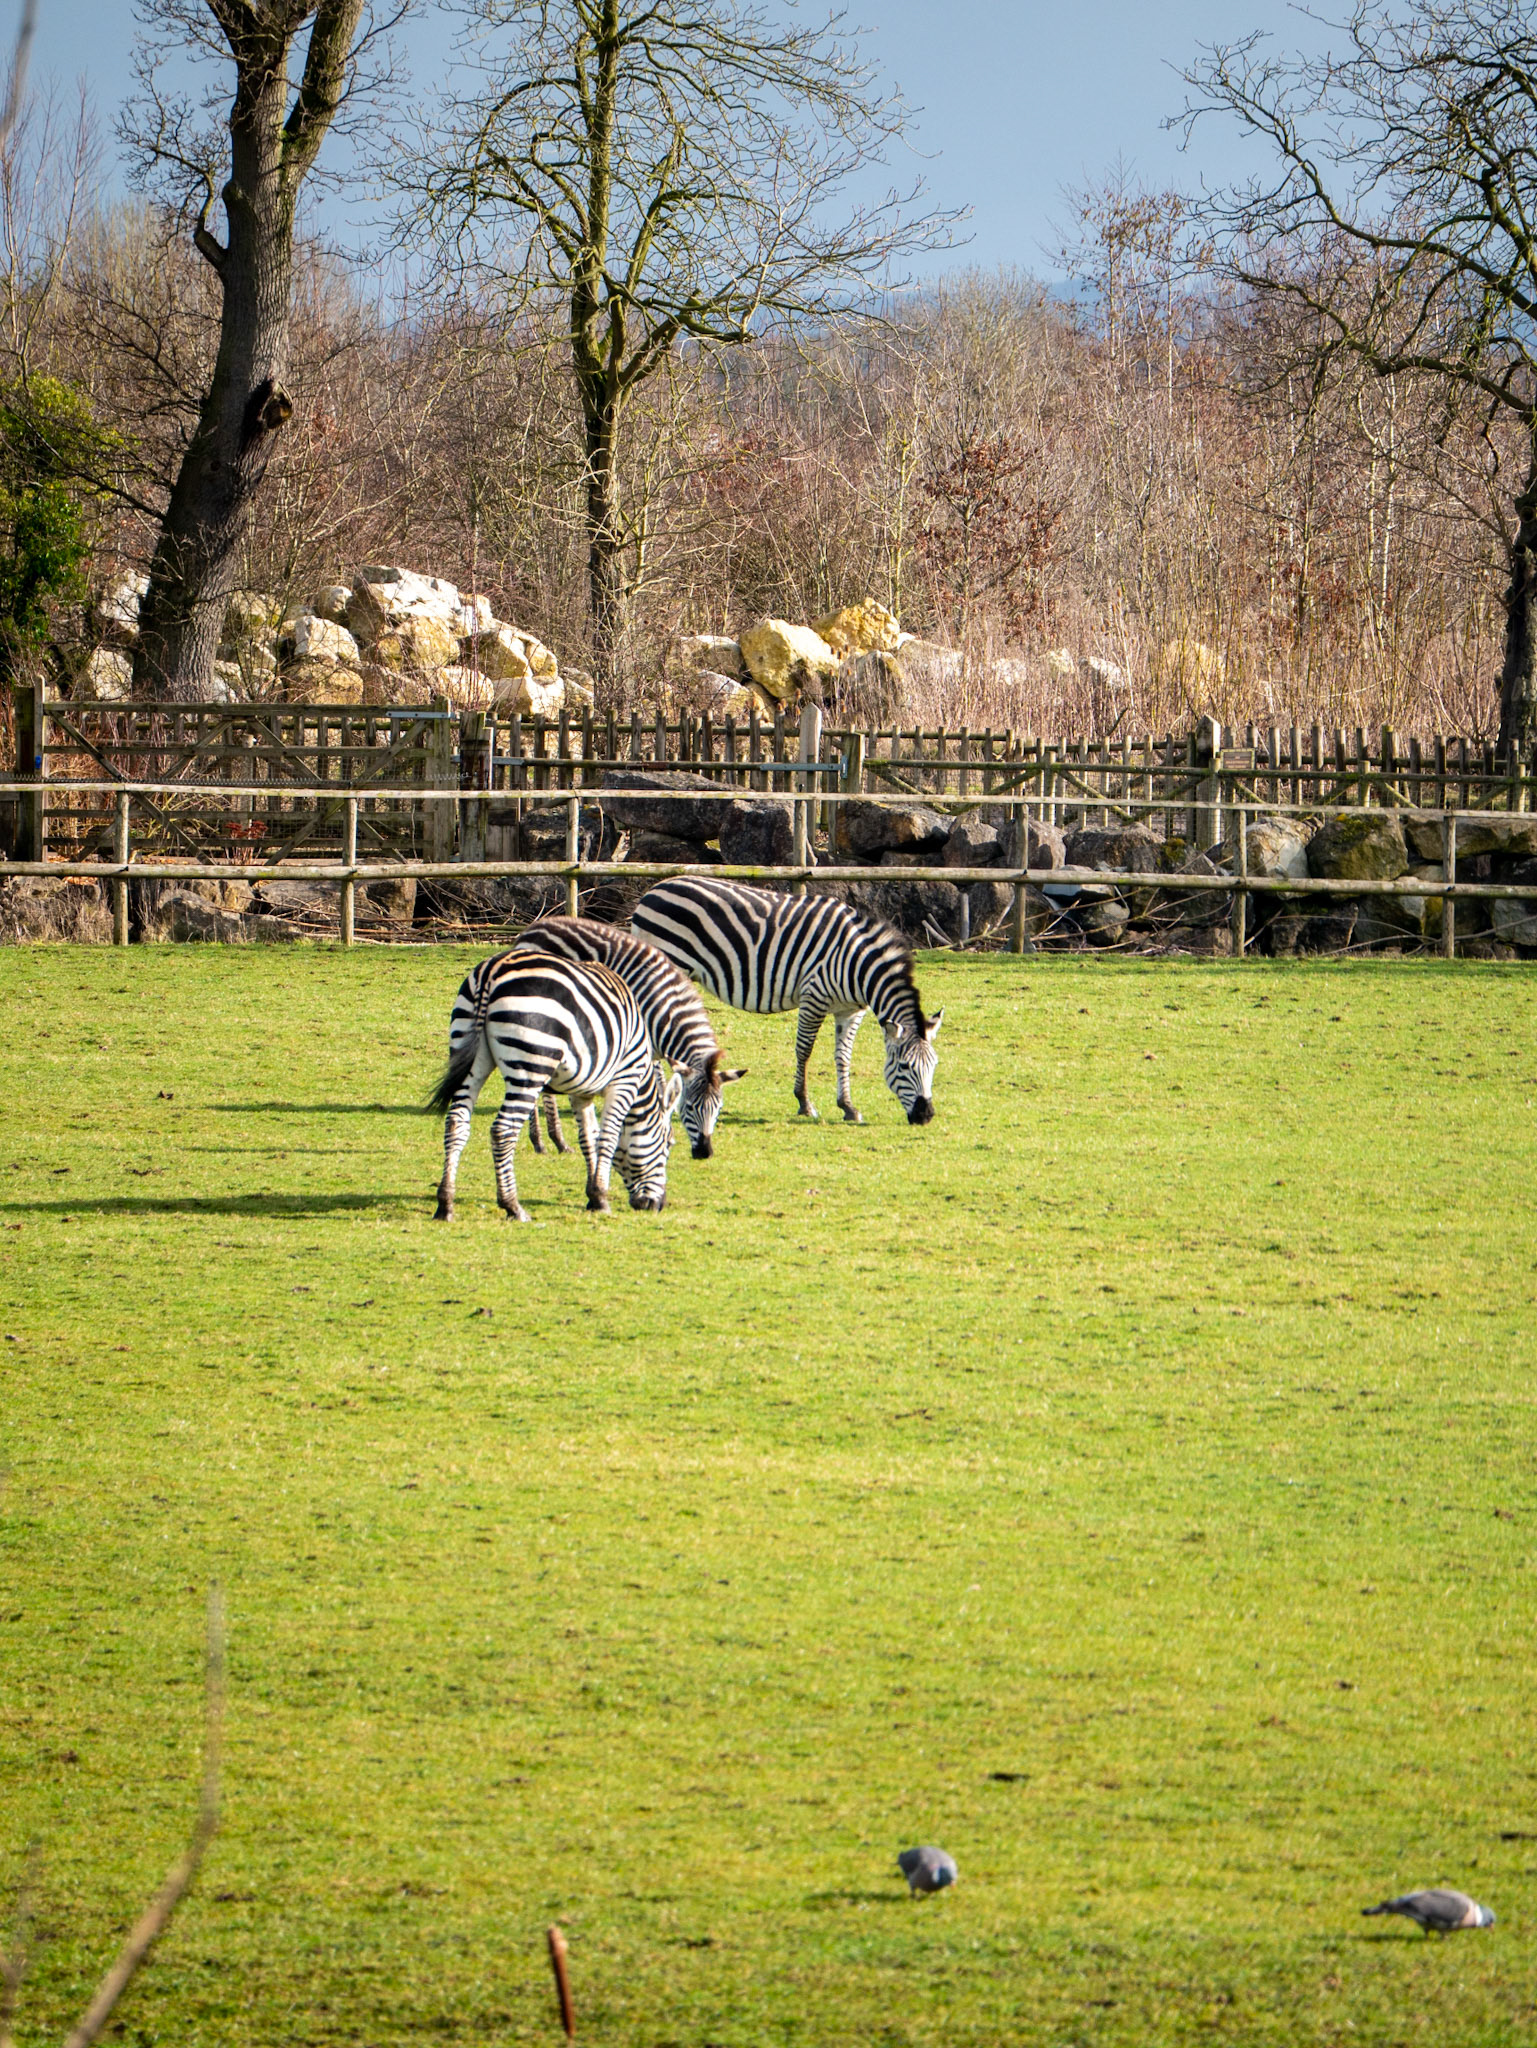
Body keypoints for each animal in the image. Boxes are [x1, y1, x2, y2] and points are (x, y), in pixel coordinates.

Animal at [429, 954, 681, 1220]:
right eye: (668, 1144)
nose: (658, 1205)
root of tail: (492, 970)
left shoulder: (582, 1092)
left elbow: (588, 1137)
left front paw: (594, 1197)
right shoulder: (624, 1080)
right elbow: (608, 1137)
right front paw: (602, 1196)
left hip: (469, 1052)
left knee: (456, 1122)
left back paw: (445, 1204)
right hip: (532, 1061)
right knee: (503, 1130)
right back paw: (513, 1206)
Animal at [485, 918, 745, 1159]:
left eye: (718, 1108)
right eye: (690, 1107)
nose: (705, 1153)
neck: (662, 1012)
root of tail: (529, 931)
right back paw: (546, 1140)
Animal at [631, 877, 942, 1125]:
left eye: (934, 1065)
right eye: (905, 1067)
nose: (926, 1116)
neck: (858, 965)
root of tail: (652, 891)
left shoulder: (850, 1011)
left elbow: (843, 1056)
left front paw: (848, 1107)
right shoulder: (814, 996)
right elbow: (804, 1051)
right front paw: (804, 1104)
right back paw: (661, 1098)